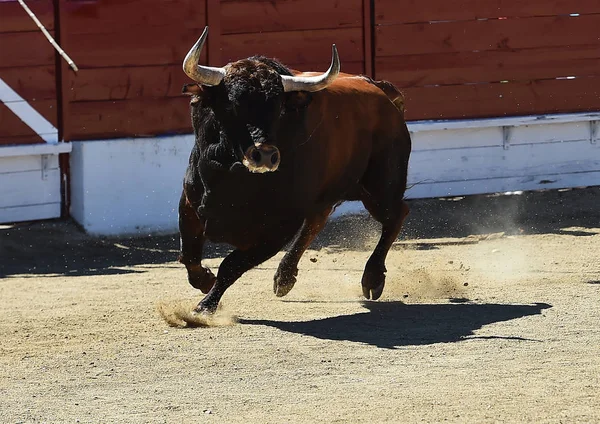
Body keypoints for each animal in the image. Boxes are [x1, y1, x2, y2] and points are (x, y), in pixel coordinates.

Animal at [178, 25, 412, 312]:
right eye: (232, 103)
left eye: (279, 106)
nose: (265, 155)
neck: (231, 177)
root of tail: (380, 90)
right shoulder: (190, 203)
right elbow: (189, 254)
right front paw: (204, 282)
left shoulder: (280, 227)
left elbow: (231, 265)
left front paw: (205, 305)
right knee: (318, 220)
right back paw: (284, 278)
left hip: (381, 186)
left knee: (395, 214)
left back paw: (372, 277)